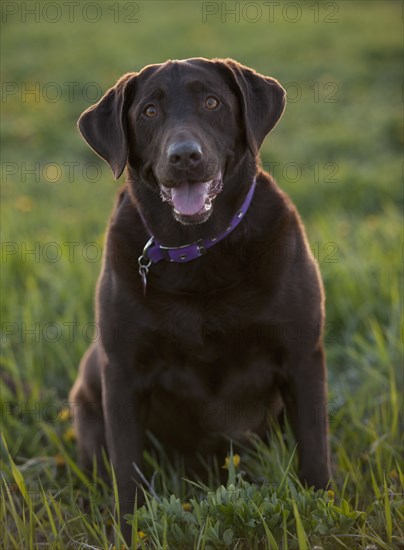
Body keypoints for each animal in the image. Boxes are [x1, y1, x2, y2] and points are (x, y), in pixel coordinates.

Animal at [69, 57, 328, 544]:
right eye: (149, 111)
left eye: (212, 102)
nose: (184, 155)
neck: (201, 250)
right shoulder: (123, 373)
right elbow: (127, 471)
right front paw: (129, 531)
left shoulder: (303, 357)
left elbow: (315, 449)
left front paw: (323, 514)